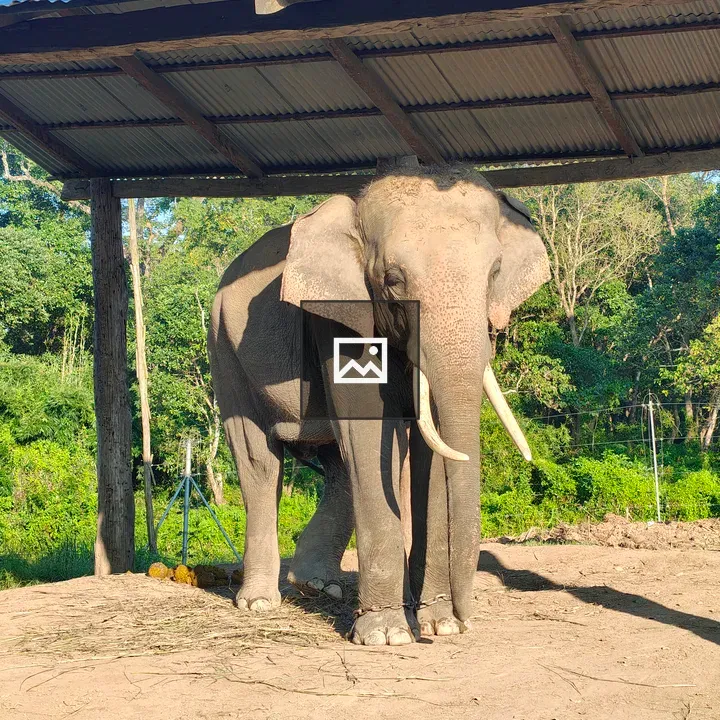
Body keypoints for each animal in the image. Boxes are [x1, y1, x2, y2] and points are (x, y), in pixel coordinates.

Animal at [208, 165, 550, 645]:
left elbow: (426, 448)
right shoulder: (336, 318)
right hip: (225, 351)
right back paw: (258, 601)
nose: (467, 619)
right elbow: (369, 432)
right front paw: (388, 635)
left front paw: (438, 624)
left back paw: (319, 585)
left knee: (337, 467)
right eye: (392, 279)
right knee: (259, 460)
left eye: (495, 271)